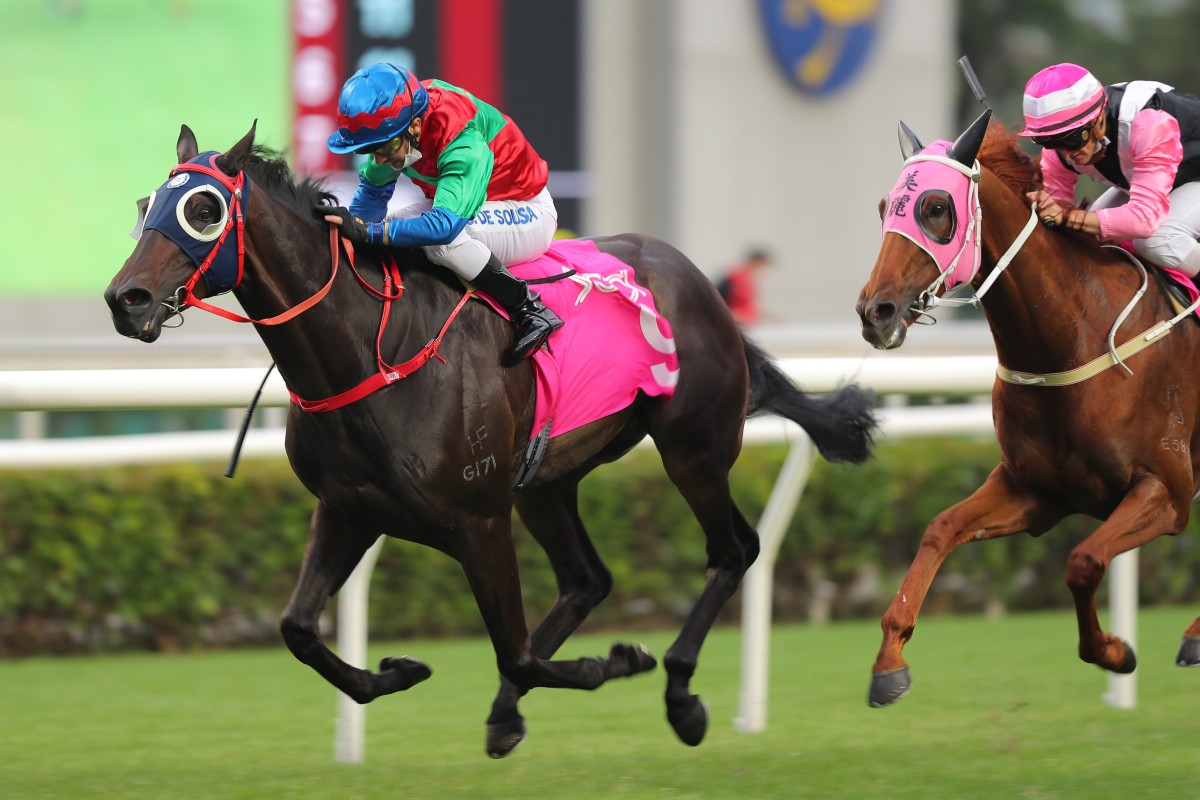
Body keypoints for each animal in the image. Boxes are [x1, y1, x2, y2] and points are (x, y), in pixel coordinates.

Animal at [103, 125, 878, 758]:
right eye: (147, 205)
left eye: (205, 210)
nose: (125, 299)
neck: (369, 351)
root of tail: (696, 279)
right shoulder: (349, 509)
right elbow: (298, 627)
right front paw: (397, 670)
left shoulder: (479, 519)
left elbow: (516, 653)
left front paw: (612, 663)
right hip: (546, 479)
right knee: (588, 578)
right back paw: (511, 714)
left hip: (692, 449)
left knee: (734, 549)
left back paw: (680, 693)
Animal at [859, 109, 1200, 710]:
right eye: (885, 208)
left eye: (936, 208)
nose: (874, 312)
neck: (1072, 336)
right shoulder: (1035, 491)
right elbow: (939, 529)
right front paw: (888, 663)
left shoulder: (1167, 491)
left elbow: (1083, 561)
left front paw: (1114, 651)